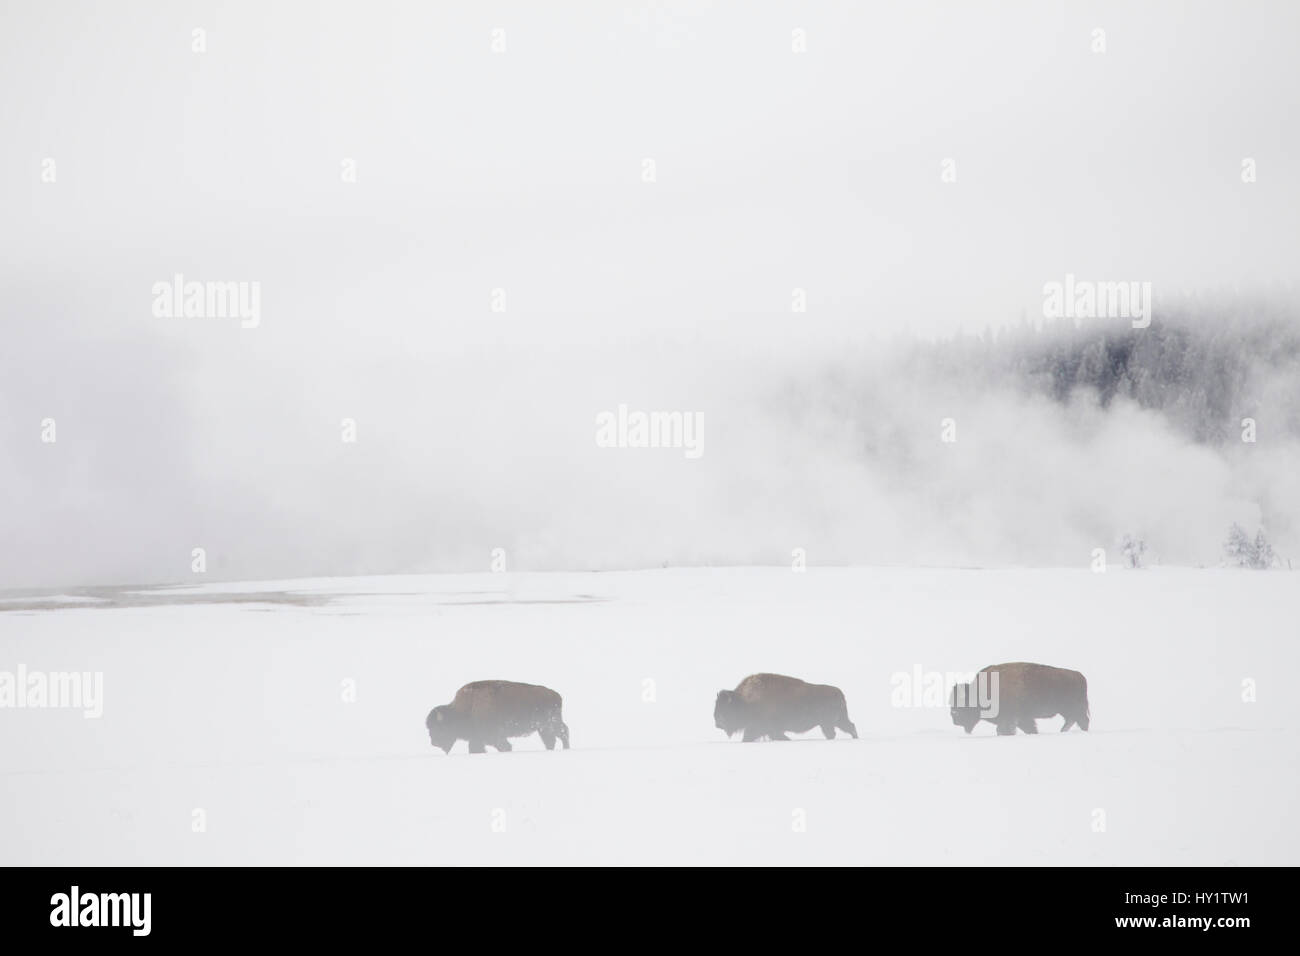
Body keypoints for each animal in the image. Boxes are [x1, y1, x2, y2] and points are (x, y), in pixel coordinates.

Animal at [426, 681, 569, 754]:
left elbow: (504, 746)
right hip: (543, 728)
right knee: (551, 740)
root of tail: (556, 695)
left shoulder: (493, 737)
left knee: (563, 733)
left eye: (439, 728)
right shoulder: (478, 739)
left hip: (551, 724)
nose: (434, 743)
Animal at [717, 671, 857, 738]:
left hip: (828, 723)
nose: (717, 724)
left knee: (834, 733)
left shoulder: (759, 728)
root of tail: (839, 693)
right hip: (837, 721)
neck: (745, 700)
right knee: (850, 727)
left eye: (725, 709)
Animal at [951, 660, 1092, 738]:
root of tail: (1079, 676)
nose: (954, 719)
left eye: (963, 704)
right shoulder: (1021, 719)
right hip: (1066, 711)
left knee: (1081, 721)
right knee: (1072, 721)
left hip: (1073, 709)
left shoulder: (1011, 719)